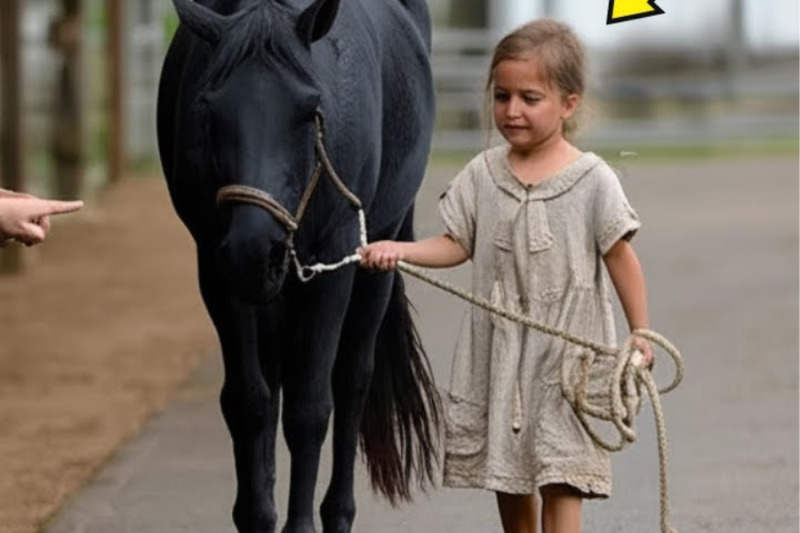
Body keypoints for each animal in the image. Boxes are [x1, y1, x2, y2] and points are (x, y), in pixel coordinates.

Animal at [156, 0, 440, 532]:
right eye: (209, 109)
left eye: (311, 112)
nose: (254, 246)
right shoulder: (217, 268)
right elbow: (249, 402)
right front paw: (256, 516)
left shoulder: (332, 263)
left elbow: (310, 408)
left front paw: (301, 524)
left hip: (375, 258)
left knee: (351, 381)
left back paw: (338, 513)